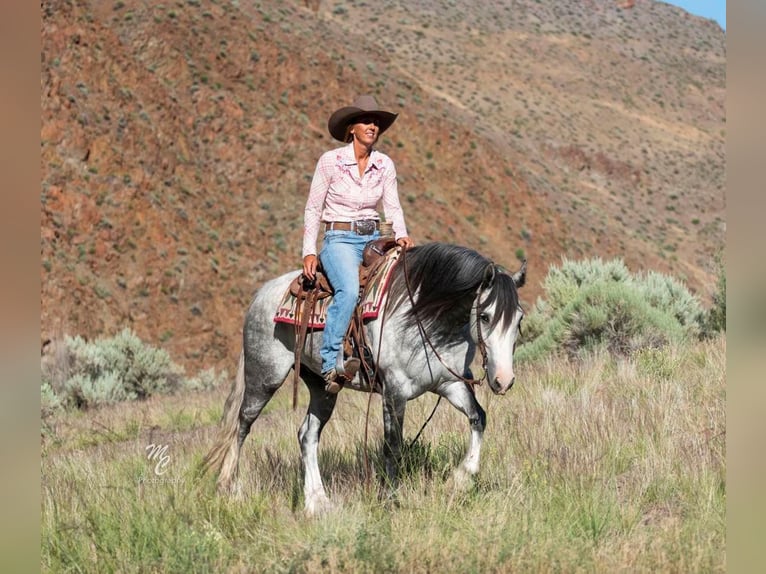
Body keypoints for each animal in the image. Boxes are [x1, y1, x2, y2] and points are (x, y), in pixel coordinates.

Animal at [204, 243, 528, 516]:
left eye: (519, 318)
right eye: (485, 316)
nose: (503, 380)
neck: (423, 315)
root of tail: (262, 294)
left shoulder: (451, 384)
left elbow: (478, 418)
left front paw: (460, 479)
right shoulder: (394, 391)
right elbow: (393, 445)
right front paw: (391, 500)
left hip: (323, 388)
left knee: (307, 435)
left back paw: (317, 502)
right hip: (264, 376)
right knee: (242, 425)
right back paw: (229, 488)